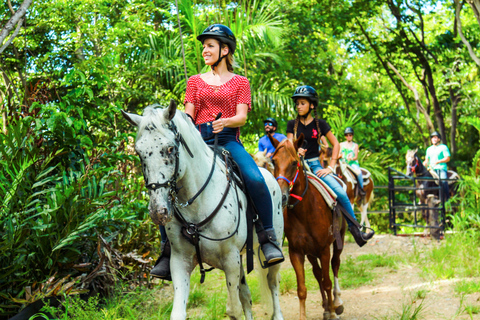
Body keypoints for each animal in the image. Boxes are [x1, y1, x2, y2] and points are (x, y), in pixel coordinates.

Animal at [122, 100, 284, 320]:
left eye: (170, 149)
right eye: (139, 153)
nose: (158, 211)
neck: (197, 204)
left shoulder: (230, 260)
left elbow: (233, 310)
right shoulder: (180, 261)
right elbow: (178, 313)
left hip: (270, 251)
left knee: (273, 283)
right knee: (246, 296)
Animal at [270, 136, 344, 320]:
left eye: (294, 163)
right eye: (274, 161)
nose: (281, 196)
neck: (305, 212)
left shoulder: (324, 249)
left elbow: (327, 282)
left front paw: (333, 312)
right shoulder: (296, 252)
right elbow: (302, 289)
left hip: (338, 240)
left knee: (335, 265)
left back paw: (337, 303)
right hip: (310, 252)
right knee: (317, 273)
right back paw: (327, 307)